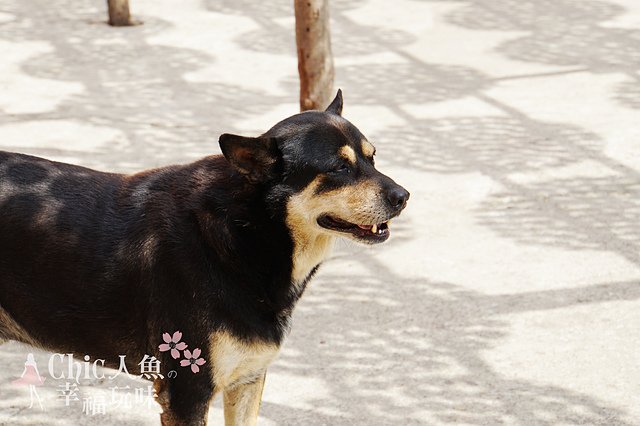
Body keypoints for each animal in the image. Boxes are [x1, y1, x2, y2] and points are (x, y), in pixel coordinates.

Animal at [0, 91, 408, 424]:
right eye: (339, 168)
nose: (403, 197)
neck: (250, 233)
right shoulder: (187, 392)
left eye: (373, 158)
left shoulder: (247, 380)